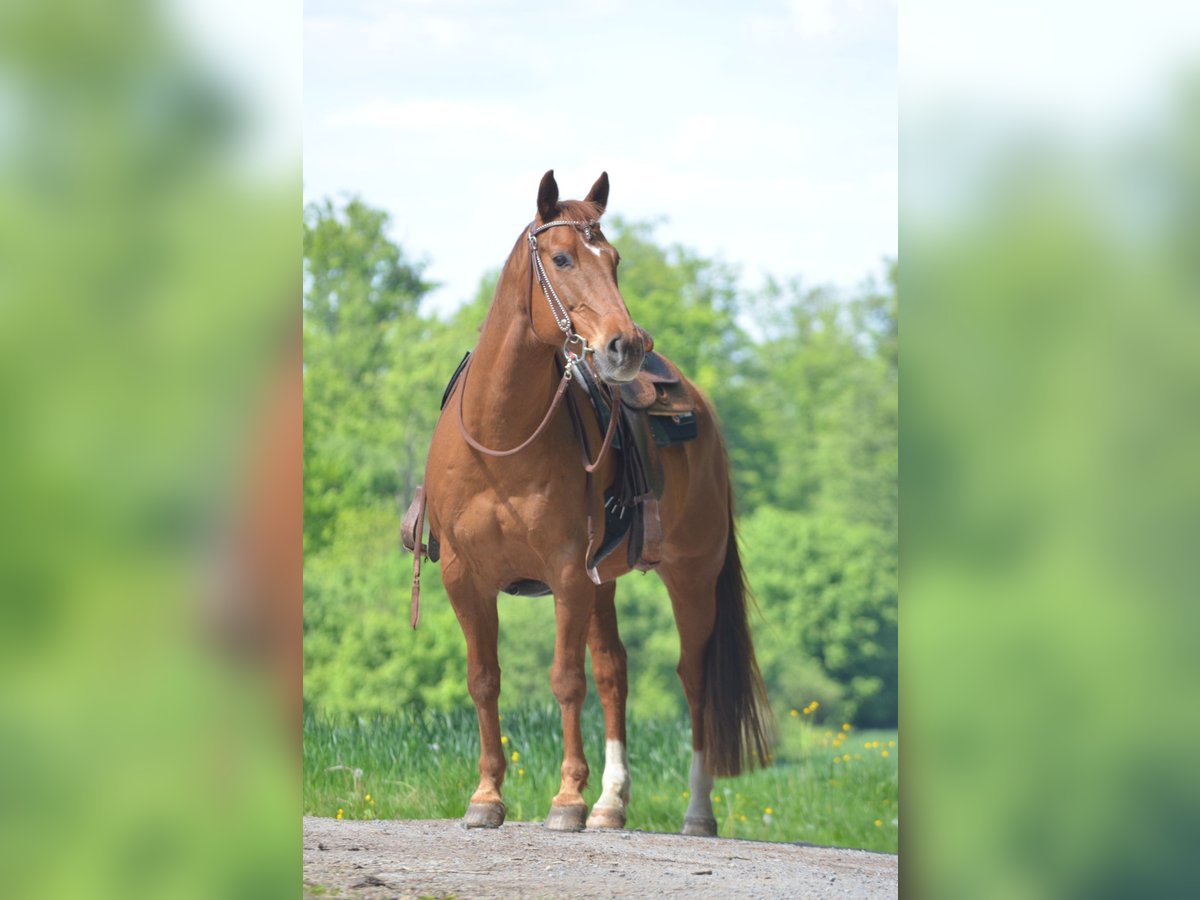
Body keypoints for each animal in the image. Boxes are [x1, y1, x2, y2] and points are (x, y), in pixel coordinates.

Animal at [410, 170, 768, 840]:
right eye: (562, 258)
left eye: (615, 259)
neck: (500, 436)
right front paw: (487, 797)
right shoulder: (464, 579)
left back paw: (696, 811)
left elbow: (565, 680)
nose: (626, 346)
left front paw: (567, 799)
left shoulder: (567, 574)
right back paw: (611, 803)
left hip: (691, 575)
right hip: (608, 581)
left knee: (693, 678)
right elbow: (484, 680)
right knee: (614, 671)